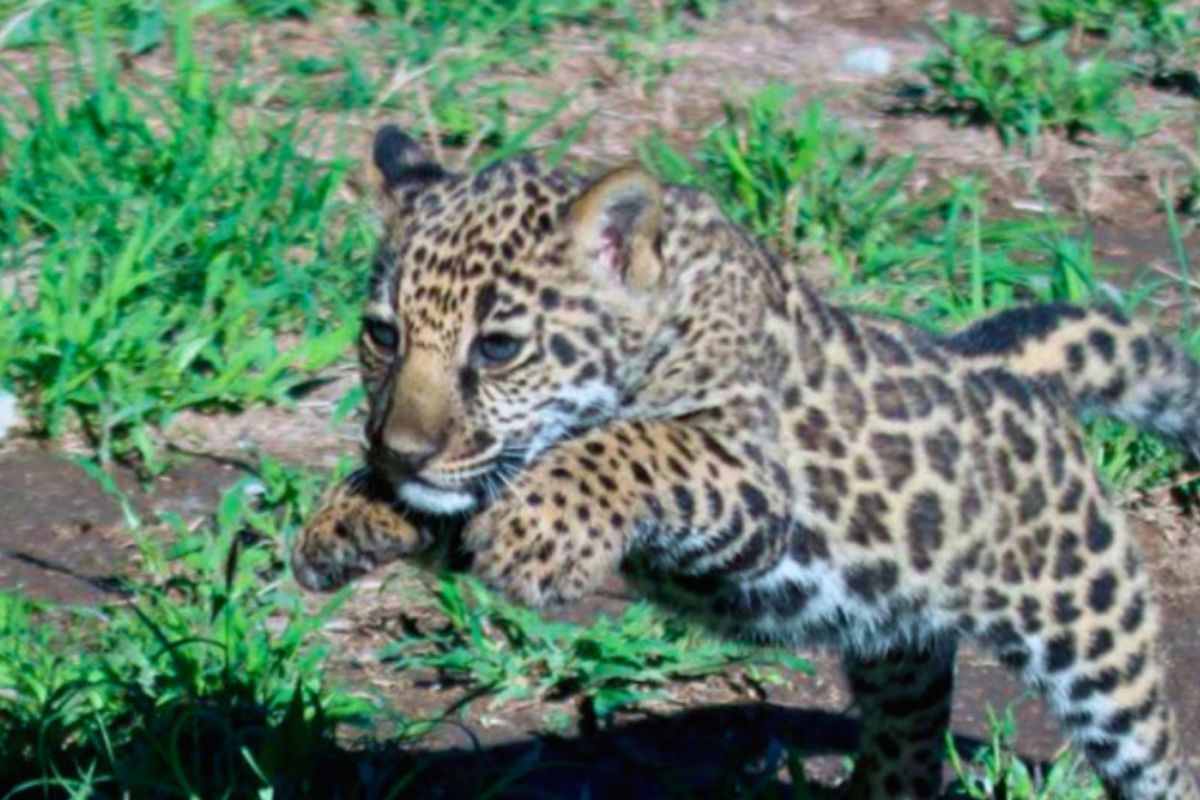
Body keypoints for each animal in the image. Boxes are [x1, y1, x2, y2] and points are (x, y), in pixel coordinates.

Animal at [290, 124, 1200, 800]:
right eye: (383, 335)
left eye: (500, 347)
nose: (402, 451)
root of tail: (1012, 371)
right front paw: (342, 521)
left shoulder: (751, 482)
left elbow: (631, 445)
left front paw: (536, 541)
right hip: (899, 649)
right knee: (907, 747)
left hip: (1092, 626)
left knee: (1149, 748)